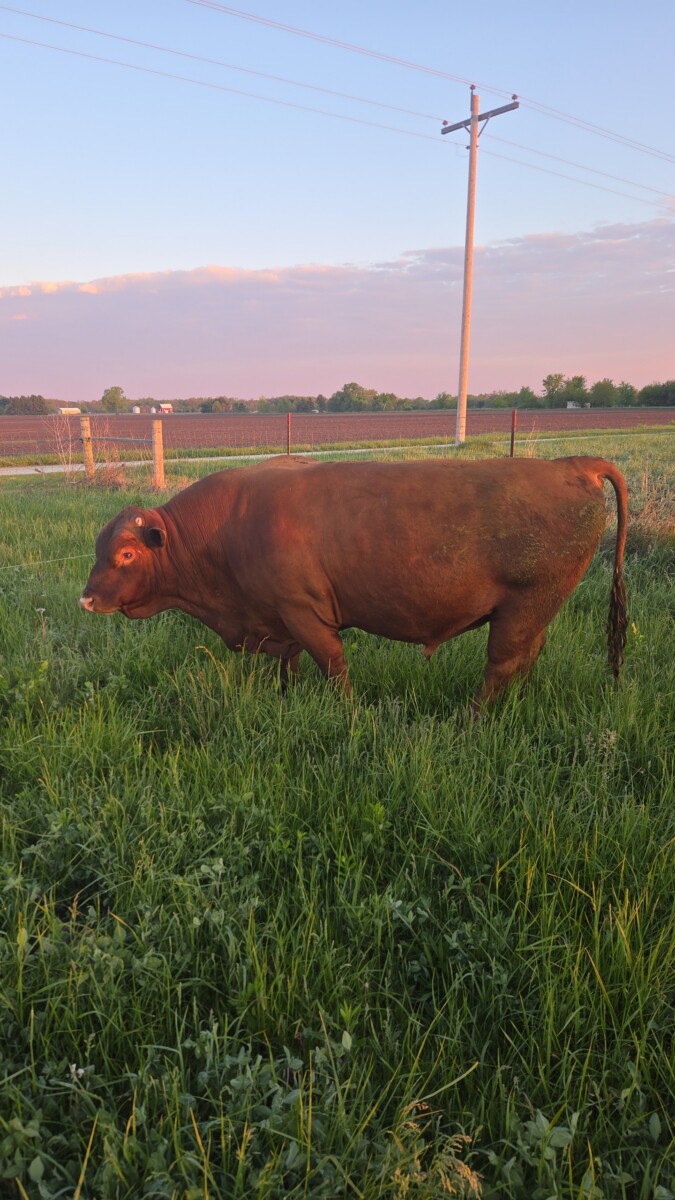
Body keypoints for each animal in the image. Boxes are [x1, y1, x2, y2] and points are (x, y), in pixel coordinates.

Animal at [80, 455, 628, 708]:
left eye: (125, 553)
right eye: (100, 549)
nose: (86, 599)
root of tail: (571, 464)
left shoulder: (304, 610)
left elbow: (333, 667)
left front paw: (350, 715)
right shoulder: (280, 618)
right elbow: (290, 665)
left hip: (523, 607)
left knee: (502, 664)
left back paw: (470, 721)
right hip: (535, 609)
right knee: (527, 658)